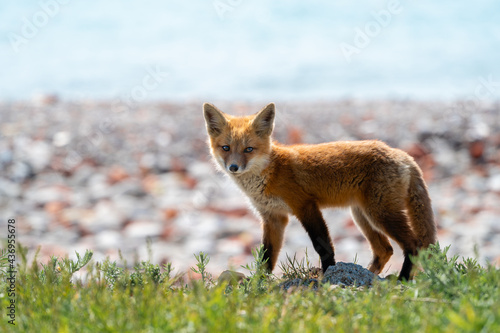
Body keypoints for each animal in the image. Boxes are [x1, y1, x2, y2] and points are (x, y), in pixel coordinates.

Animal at [201, 102, 436, 278]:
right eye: (226, 148)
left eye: (249, 149)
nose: (233, 167)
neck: (270, 172)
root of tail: (401, 153)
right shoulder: (273, 217)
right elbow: (267, 256)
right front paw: (259, 282)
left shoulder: (305, 206)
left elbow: (323, 247)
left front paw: (328, 275)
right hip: (362, 216)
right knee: (384, 250)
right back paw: (370, 276)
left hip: (380, 214)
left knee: (414, 246)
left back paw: (402, 280)